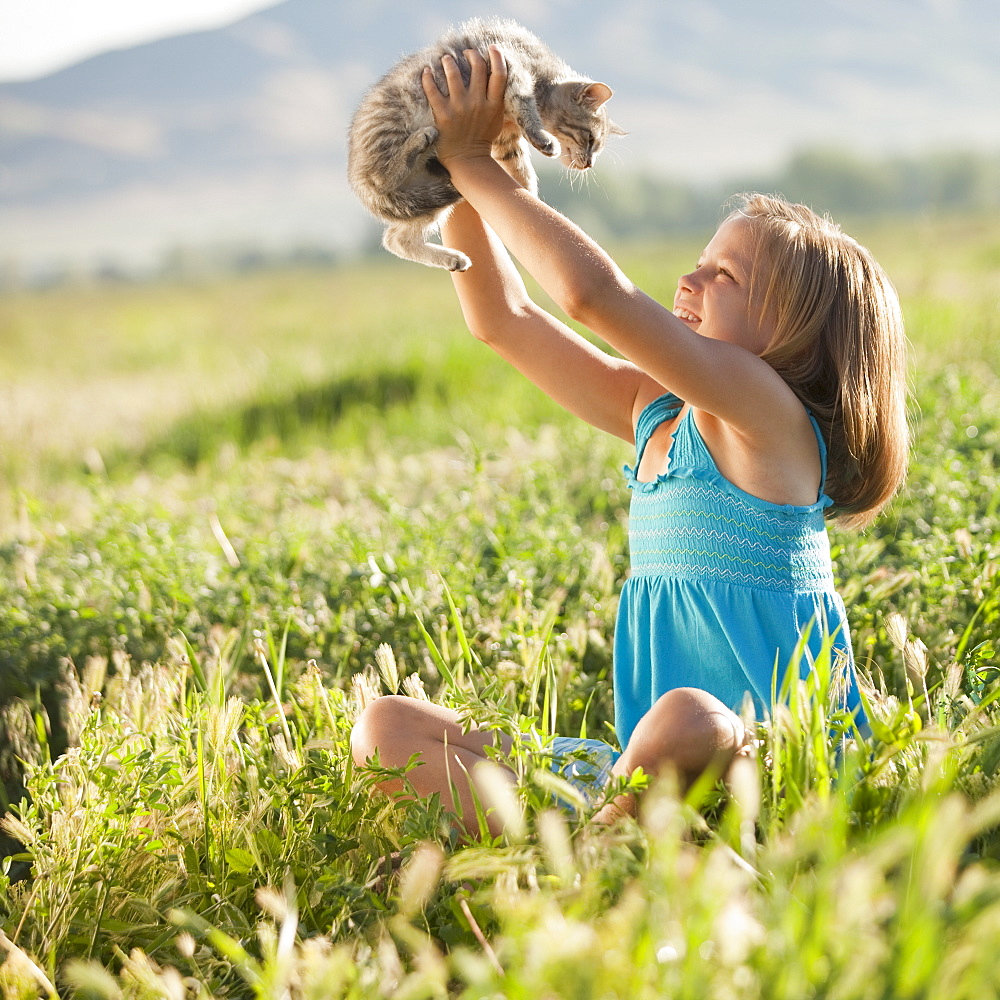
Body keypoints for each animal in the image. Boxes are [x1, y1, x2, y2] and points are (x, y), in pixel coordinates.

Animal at [348, 19, 620, 270]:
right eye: (590, 139)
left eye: (596, 147)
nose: (589, 163)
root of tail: (356, 177)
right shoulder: (508, 65)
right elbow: (525, 105)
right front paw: (542, 137)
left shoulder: (506, 139)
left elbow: (522, 168)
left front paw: (529, 195)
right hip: (392, 130)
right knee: (379, 179)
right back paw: (418, 140)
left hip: (427, 199)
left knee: (396, 239)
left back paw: (451, 258)